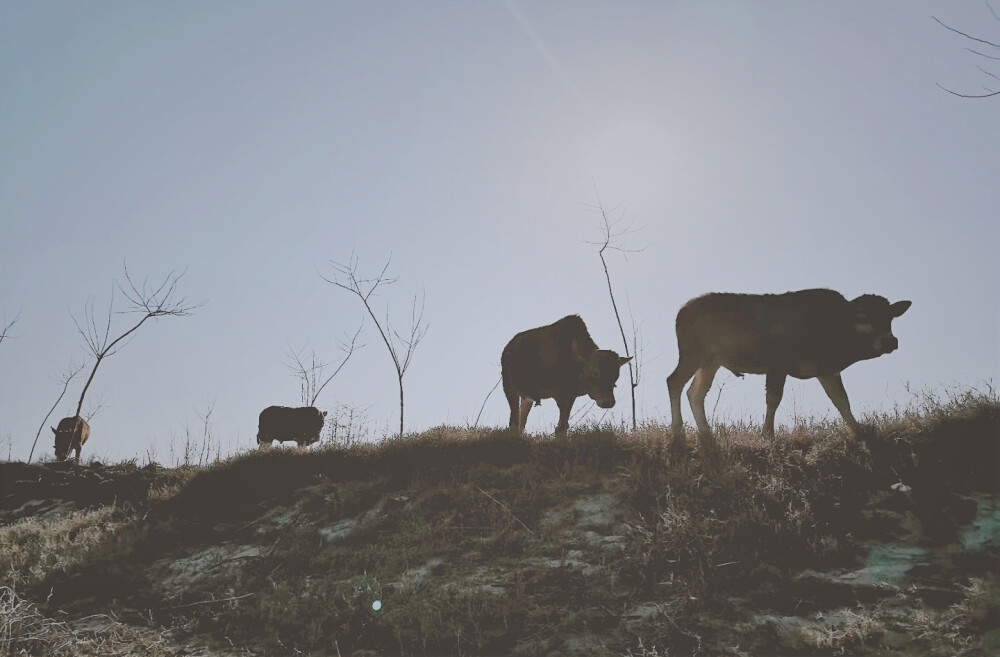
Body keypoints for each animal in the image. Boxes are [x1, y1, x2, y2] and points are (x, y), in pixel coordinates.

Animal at [500, 314, 632, 436]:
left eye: (615, 378)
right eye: (595, 374)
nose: (608, 402)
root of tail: (508, 347)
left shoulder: (570, 395)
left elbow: (563, 426)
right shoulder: (563, 395)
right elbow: (561, 427)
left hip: (527, 397)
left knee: (522, 420)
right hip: (509, 387)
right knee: (514, 420)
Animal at [668, 288, 912, 456]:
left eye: (890, 317)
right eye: (862, 317)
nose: (890, 341)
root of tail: (680, 313)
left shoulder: (826, 371)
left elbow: (841, 400)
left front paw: (859, 430)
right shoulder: (778, 363)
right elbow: (773, 399)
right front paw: (768, 435)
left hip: (711, 362)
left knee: (695, 393)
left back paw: (706, 435)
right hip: (692, 353)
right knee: (674, 381)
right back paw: (678, 433)